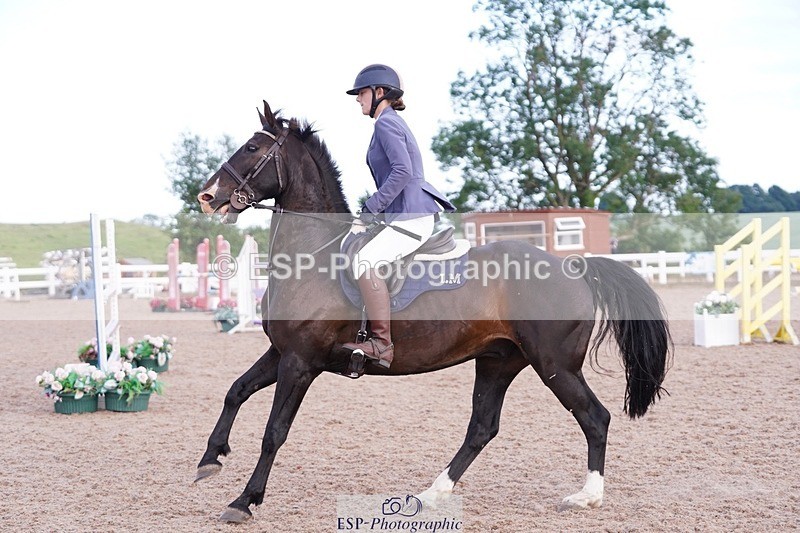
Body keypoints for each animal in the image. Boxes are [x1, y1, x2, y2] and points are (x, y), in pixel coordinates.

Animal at [195, 101, 672, 523]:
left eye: (252, 148)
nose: (207, 196)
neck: (314, 257)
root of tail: (574, 265)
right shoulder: (283, 352)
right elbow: (235, 391)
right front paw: (210, 459)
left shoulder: (300, 362)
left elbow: (274, 432)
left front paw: (244, 501)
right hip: (498, 360)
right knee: (482, 428)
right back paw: (429, 494)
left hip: (554, 364)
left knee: (594, 417)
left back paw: (586, 497)